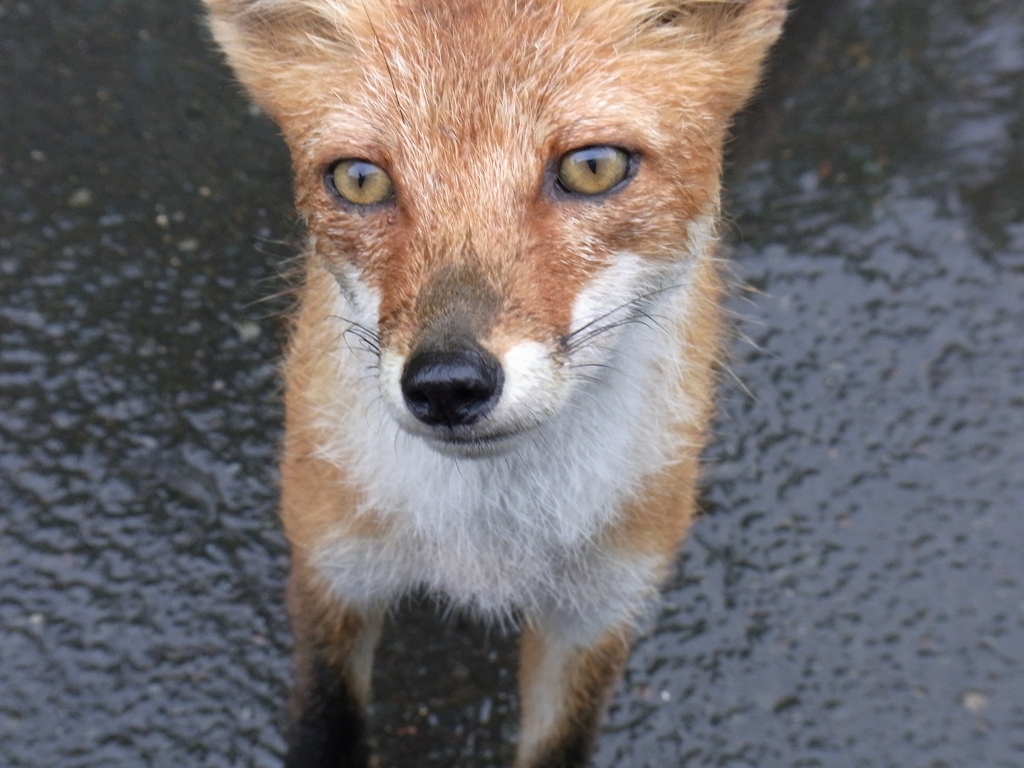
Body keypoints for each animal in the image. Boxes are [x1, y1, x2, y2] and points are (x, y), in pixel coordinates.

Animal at [201, 3, 782, 765]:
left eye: (592, 167)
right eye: (359, 180)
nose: (447, 384)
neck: (488, 534)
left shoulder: (597, 609)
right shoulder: (332, 564)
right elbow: (324, 727)